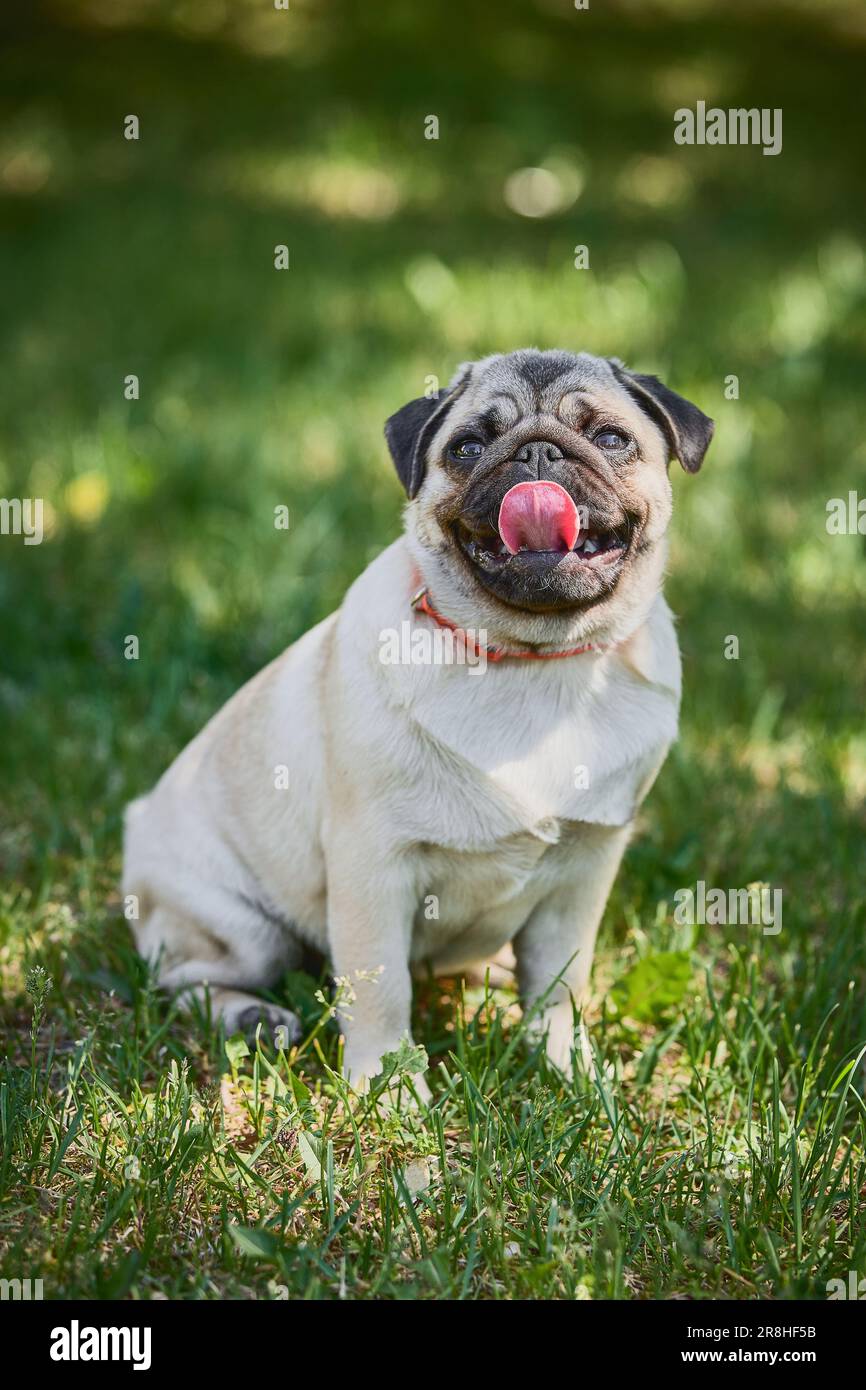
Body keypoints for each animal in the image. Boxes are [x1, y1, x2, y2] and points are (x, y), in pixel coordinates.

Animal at [125, 347, 717, 1095]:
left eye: (611, 439)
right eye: (467, 447)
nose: (538, 452)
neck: (530, 660)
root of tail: (138, 822)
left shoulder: (585, 869)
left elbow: (561, 983)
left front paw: (568, 1066)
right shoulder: (374, 866)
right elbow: (380, 991)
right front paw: (389, 1090)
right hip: (238, 928)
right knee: (187, 979)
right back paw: (254, 1019)